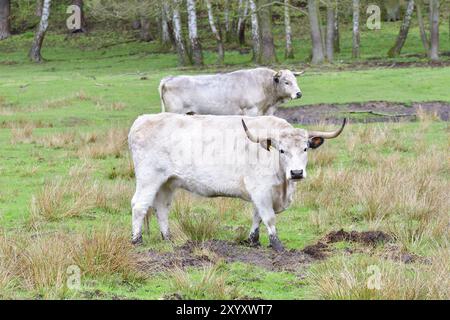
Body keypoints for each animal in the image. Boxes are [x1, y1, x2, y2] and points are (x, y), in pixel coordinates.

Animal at [128, 114, 346, 251]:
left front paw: (253, 240)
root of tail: (141, 120)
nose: (297, 172)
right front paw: (277, 245)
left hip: (167, 182)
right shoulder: (261, 190)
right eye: (282, 150)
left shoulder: (261, 194)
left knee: (161, 208)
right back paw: (137, 240)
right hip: (149, 178)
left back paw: (168, 239)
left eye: (305, 148)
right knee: (139, 205)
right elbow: (269, 218)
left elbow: (257, 216)